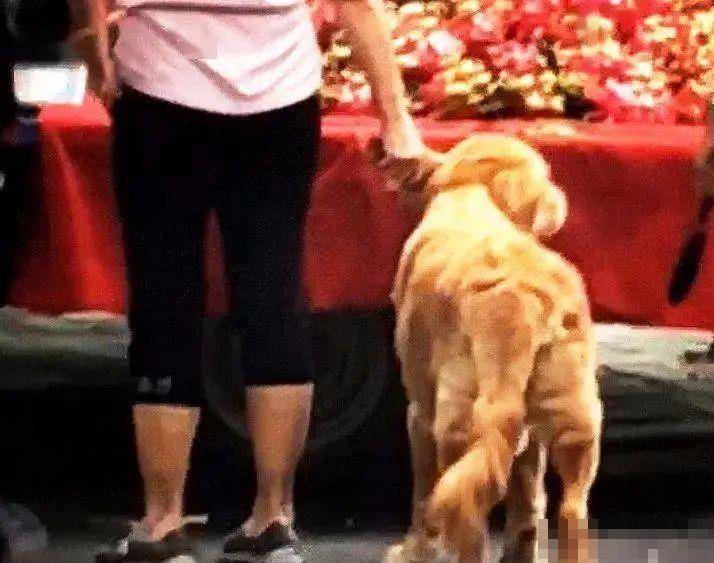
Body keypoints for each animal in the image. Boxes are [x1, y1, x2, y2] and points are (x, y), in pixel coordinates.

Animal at [384, 135, 603, 563]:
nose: (560, 197)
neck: (470, 194)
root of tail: (523, 299)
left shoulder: (419, 411)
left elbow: (422, 495)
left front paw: (415, 549)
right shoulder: (529, 434)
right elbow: (528, 498)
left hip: (456, 421)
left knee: (469, 521)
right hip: (575, 419)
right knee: (571, 508)